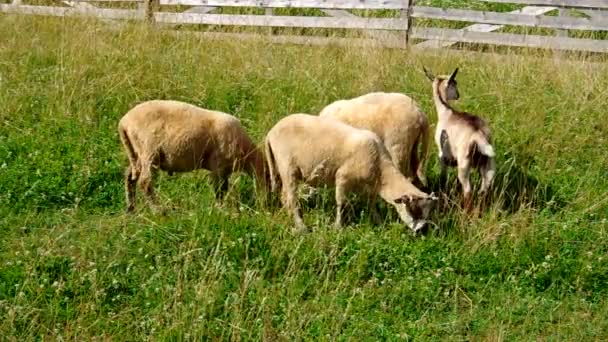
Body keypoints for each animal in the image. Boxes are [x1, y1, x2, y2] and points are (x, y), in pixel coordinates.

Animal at [264, 113, 436, 234]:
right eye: (414, 210)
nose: (422, 231)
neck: (380, 168)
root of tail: (270, 133)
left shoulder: (370, 186)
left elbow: (371, 204)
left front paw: (378, 221)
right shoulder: (342, 177)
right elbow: (341, 203)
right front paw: (338, 227)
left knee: (284, 196)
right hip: (287, 166)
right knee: (292, 198)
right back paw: (302, 227)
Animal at [426, 66, 496, 211]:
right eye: (455, 83)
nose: (458, 95)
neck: (446, 112)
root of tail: (477, 133)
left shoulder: (442, 155)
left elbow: (443, 177)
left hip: (464, 165)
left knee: (468, 191)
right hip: (489, 164)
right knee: (483, 190)